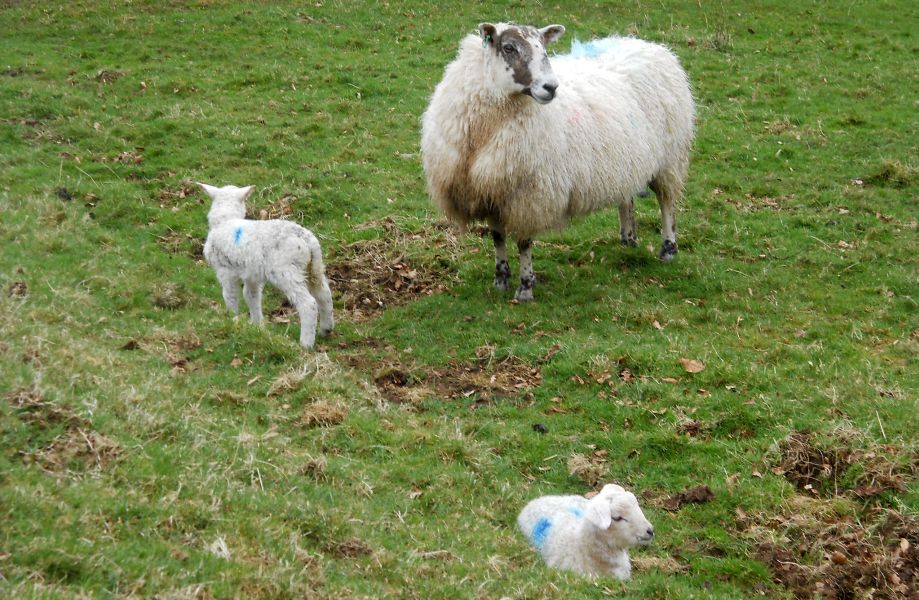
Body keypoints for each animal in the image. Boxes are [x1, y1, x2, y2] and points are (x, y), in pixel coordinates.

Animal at [199, 185, 336, 350]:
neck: (226, 220)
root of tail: (305, 239)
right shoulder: (252, 275)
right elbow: (251, 296)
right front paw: (256, 326)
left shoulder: (225, 272)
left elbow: (230, 296)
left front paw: (233, 321)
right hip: (314, 268)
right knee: (324, 295)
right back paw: (326, 329)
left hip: (286, 271)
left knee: (308, 304)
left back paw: (305, 343)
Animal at [420, 22, 692, 302]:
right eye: (509, 48)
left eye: (544, 47)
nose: (551, 87)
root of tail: (648, 45)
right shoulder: (493, 191)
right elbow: (497, 237)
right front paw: (500, 280)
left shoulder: (529, 195)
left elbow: (524, 242)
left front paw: (525, 288)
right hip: (626, 161)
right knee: (626, 198)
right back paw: (628, 240)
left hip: (670, 159)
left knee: (667, 203)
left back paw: (668, 249)